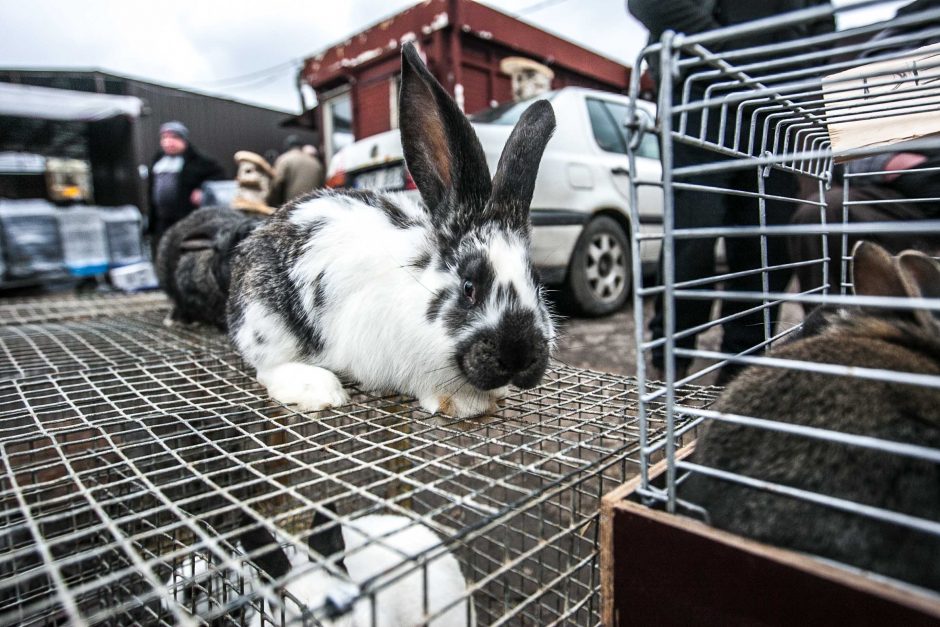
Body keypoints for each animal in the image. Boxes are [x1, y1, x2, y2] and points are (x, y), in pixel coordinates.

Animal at [226, 43, 560, 418]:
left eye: (537, 282)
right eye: (469, 287)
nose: (519, 355)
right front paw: (463, 405)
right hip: (265, 319)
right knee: (267, 366)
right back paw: (319, 390)